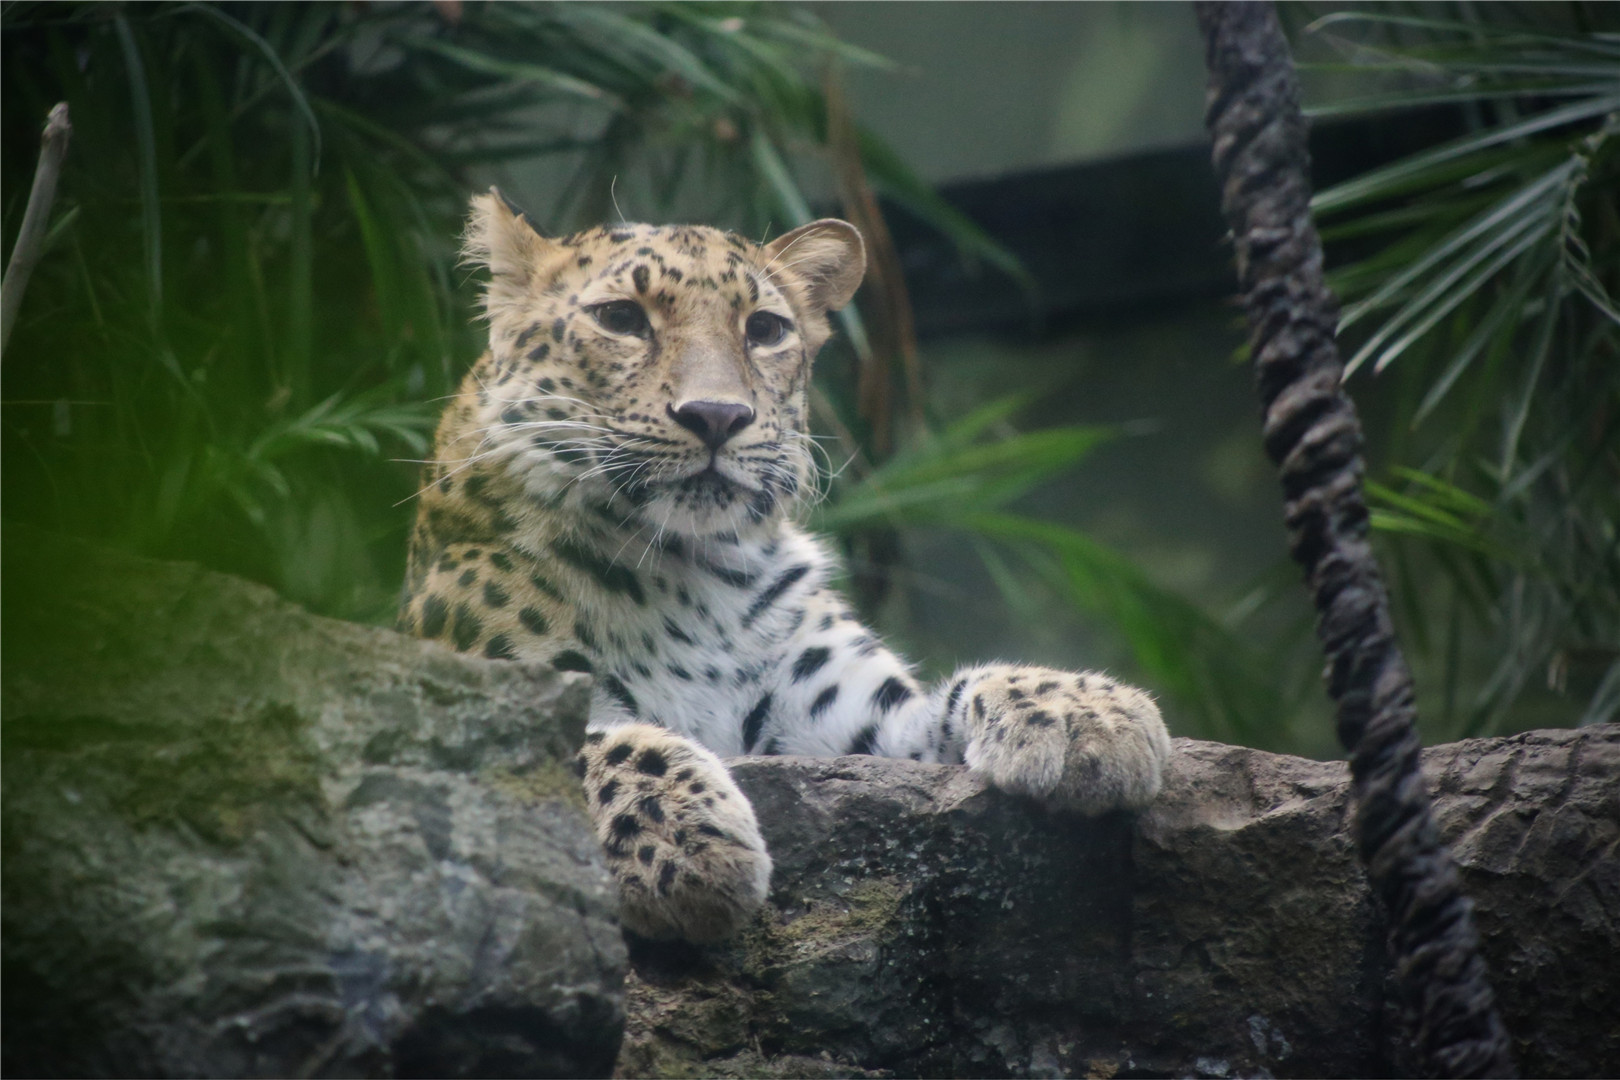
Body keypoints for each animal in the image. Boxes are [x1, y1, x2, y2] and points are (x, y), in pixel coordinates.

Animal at [398, 188, 1172, 943]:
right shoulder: (475, 698)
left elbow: (950, 697)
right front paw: (682, 846)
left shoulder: (843, 730)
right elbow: (595, 747)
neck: (687, 571)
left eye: (765, 329)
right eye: (621, 318)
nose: (716, 415)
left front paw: (1083, 716)